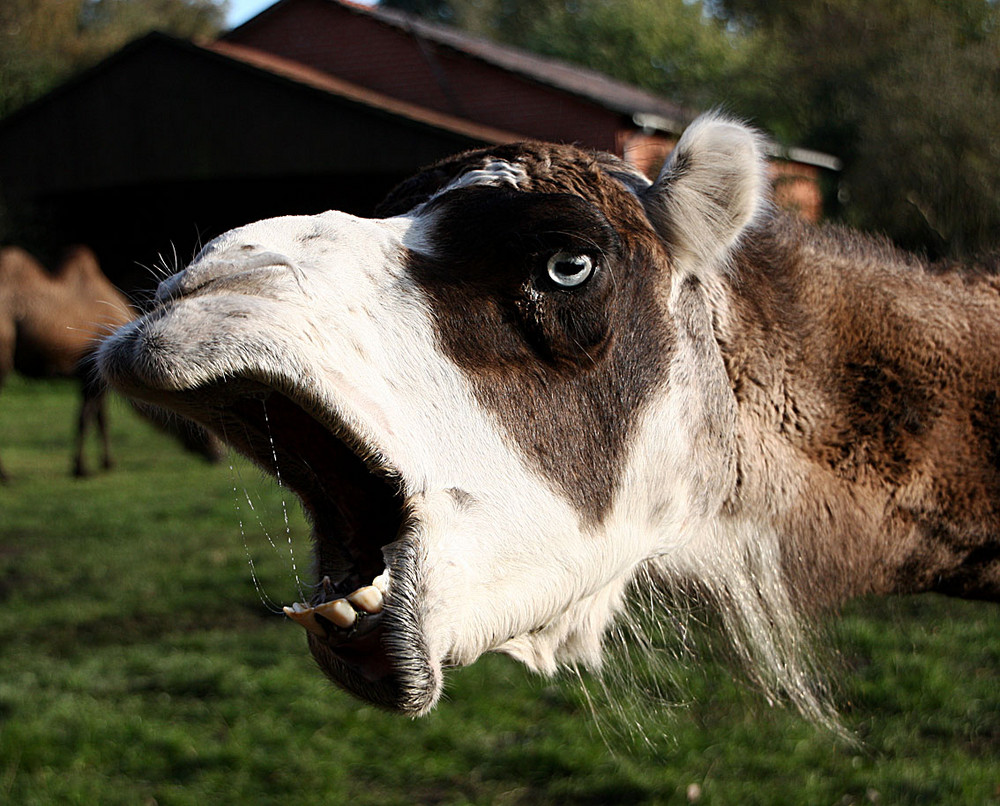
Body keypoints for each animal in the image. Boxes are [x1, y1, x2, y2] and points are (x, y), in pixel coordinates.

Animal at [0, 245, 221, 480]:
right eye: (199, 424)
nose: (218, 456)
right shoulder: (90, 371)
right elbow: (85, 420)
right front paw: (81, 469)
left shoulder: (94, 376)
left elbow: (100, 419)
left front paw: (105, 463)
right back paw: (6, 476)